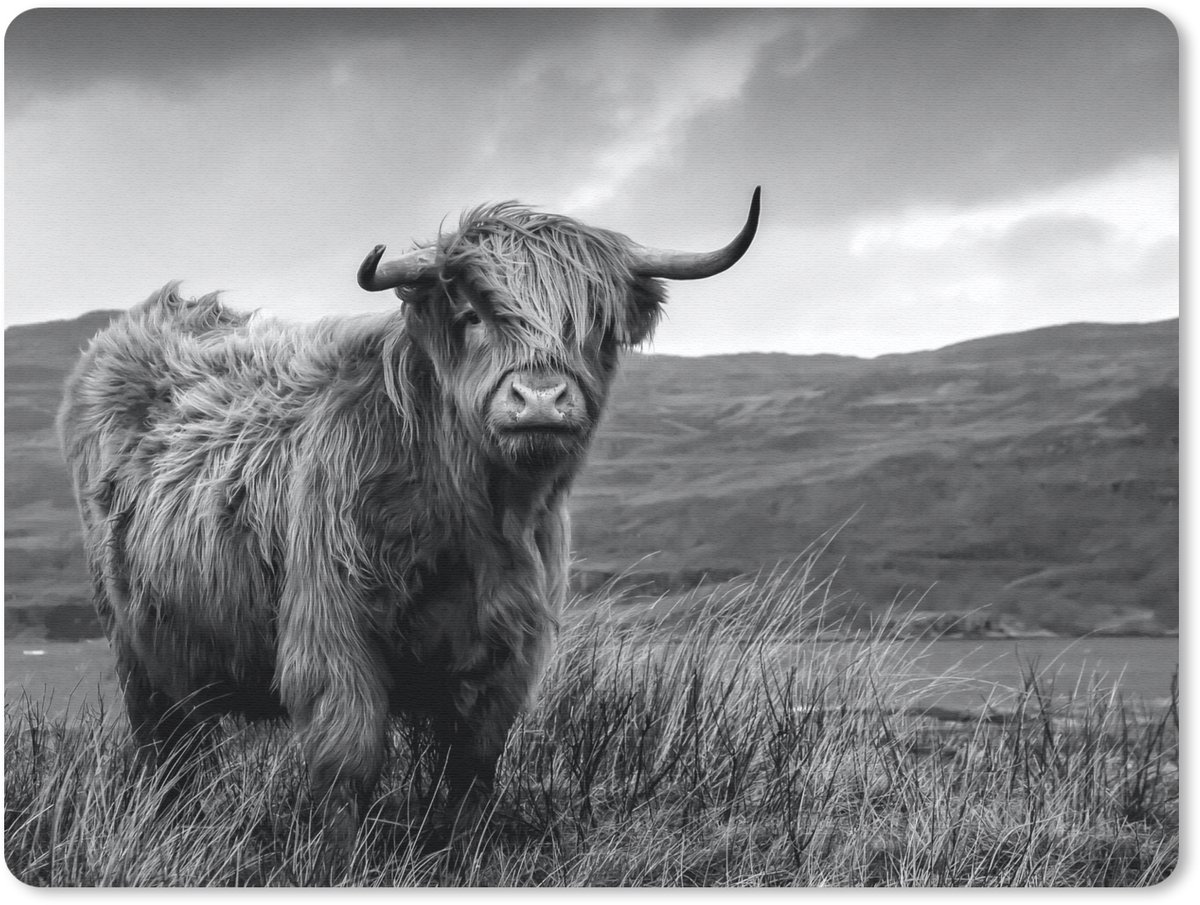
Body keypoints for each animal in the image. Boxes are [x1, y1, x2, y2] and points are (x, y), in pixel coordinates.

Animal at [57, 188, 760, 847]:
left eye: (594, 326)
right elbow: (348, 765)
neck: (475, 520)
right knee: (165, 748)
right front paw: (340, 864)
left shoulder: (507, 654)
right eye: (473, 315)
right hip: (135, 646)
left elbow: (472, 772)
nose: (539, 399)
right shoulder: (332, 635)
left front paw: (460, 853)